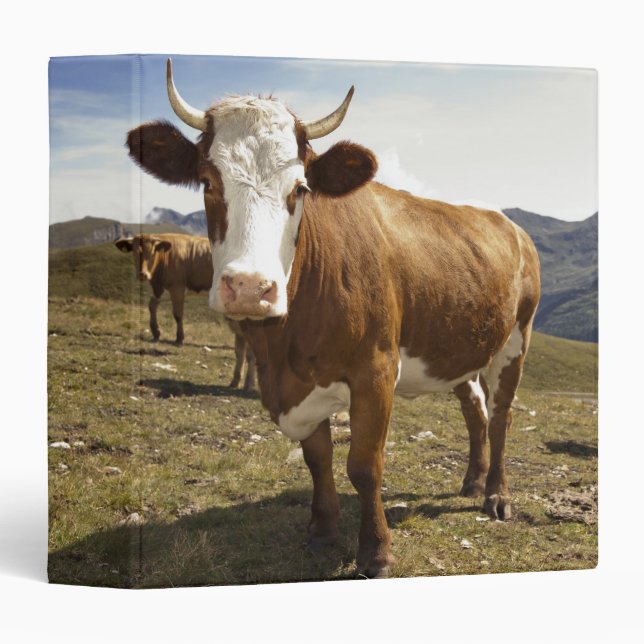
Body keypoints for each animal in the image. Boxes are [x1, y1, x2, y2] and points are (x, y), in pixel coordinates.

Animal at [115, 233, 256, 390]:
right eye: (134, 252)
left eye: (152, 252)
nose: (142, 274)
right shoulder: (162, 288)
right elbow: (152, 304)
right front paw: (156, 332)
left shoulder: (177, 287)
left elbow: (177, 314)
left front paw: (179, 338)